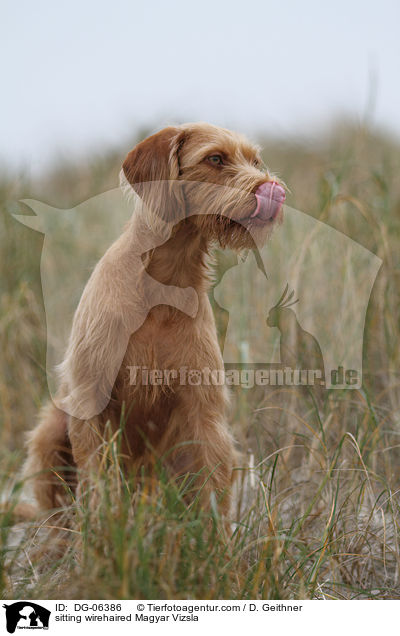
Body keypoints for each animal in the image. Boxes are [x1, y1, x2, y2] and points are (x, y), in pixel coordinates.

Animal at [22, 123, 284, 516]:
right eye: (215, 159)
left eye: (254, 161)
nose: (273, 189)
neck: (162, 290)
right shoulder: (91, 402)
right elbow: (99, 482)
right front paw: (102, 526)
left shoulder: (203, 410)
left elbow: (210, 488)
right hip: (50, 431)